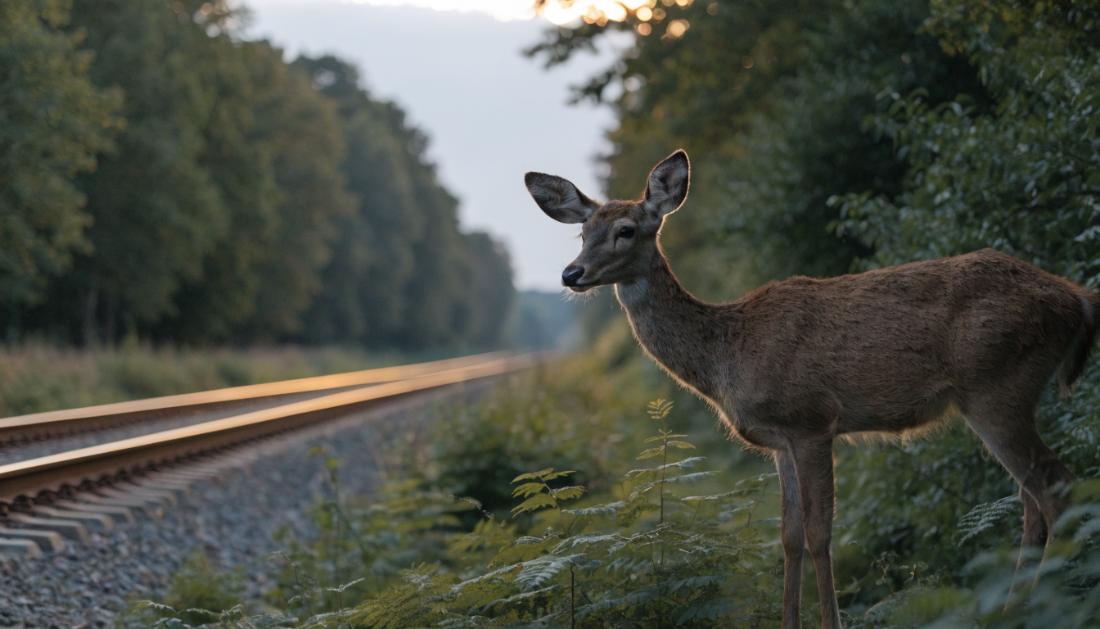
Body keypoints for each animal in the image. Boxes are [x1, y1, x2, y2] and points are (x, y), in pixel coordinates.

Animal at [524, 149, 1099, 628]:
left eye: (625, 230)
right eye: (582, 233)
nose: (571, 273)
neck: (728, 353)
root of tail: (1075, 299)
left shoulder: (812, 420)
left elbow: (822, 534)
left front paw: (831, 622)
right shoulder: (779, 441)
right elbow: (789, 537)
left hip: (996, 386)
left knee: (1057, 488)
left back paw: (1041, 607)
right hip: (1002, 395)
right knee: (1032, 495)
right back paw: (1017, 605)